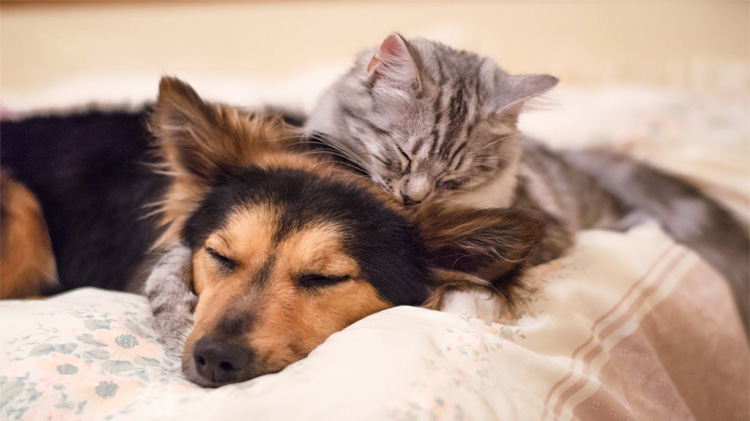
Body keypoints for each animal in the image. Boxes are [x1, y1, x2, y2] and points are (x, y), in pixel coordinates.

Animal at [302, 32, 748, 328]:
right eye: (403, 154)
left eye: (454, 179)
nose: (414, 198)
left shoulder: (545, 230)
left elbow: (481, 266)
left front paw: (463, 299)